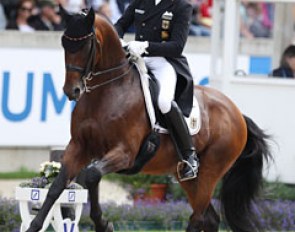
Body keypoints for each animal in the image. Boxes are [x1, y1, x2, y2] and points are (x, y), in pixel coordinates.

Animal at [25, 7, 272, 232]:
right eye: (64, 44)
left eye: (86, 45)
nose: (72, 91)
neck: (107, 93)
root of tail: (237, 113)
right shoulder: (79, 147)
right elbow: (57, 186)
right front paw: (34, 226)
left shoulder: (125, 153)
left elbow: (93, 174)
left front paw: (103, 224)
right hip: (188, 179)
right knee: (208, 218)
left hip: (209, 171)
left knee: (199, 217)